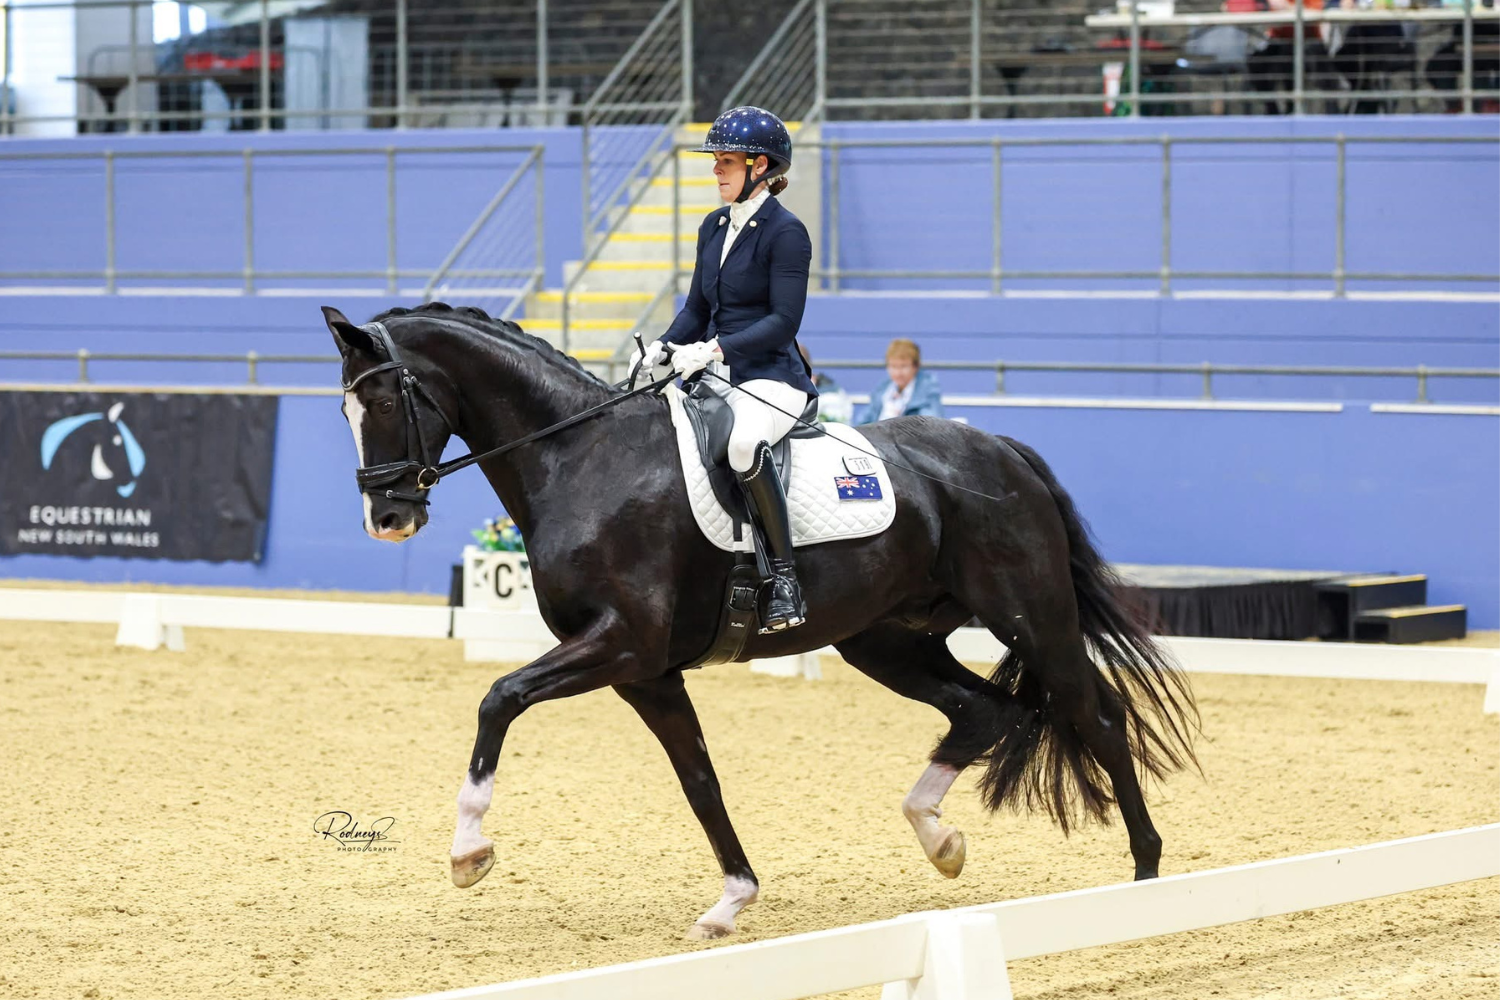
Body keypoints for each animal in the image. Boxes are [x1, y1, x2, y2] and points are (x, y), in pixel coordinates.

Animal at [323, 301, 1199, 940]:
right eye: (345, 409)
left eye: (385, 398)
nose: (388, 517)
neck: (580, 460)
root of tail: (999, 448)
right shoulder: (646, 672)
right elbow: (700, 780)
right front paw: (732, 900)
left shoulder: (620, 643)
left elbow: (498, 698)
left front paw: (469, 850)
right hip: (886, 639)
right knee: (986, 711)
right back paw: (938, 837)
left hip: (1031, 616)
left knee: (1097, 716)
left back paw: (1145, 879)